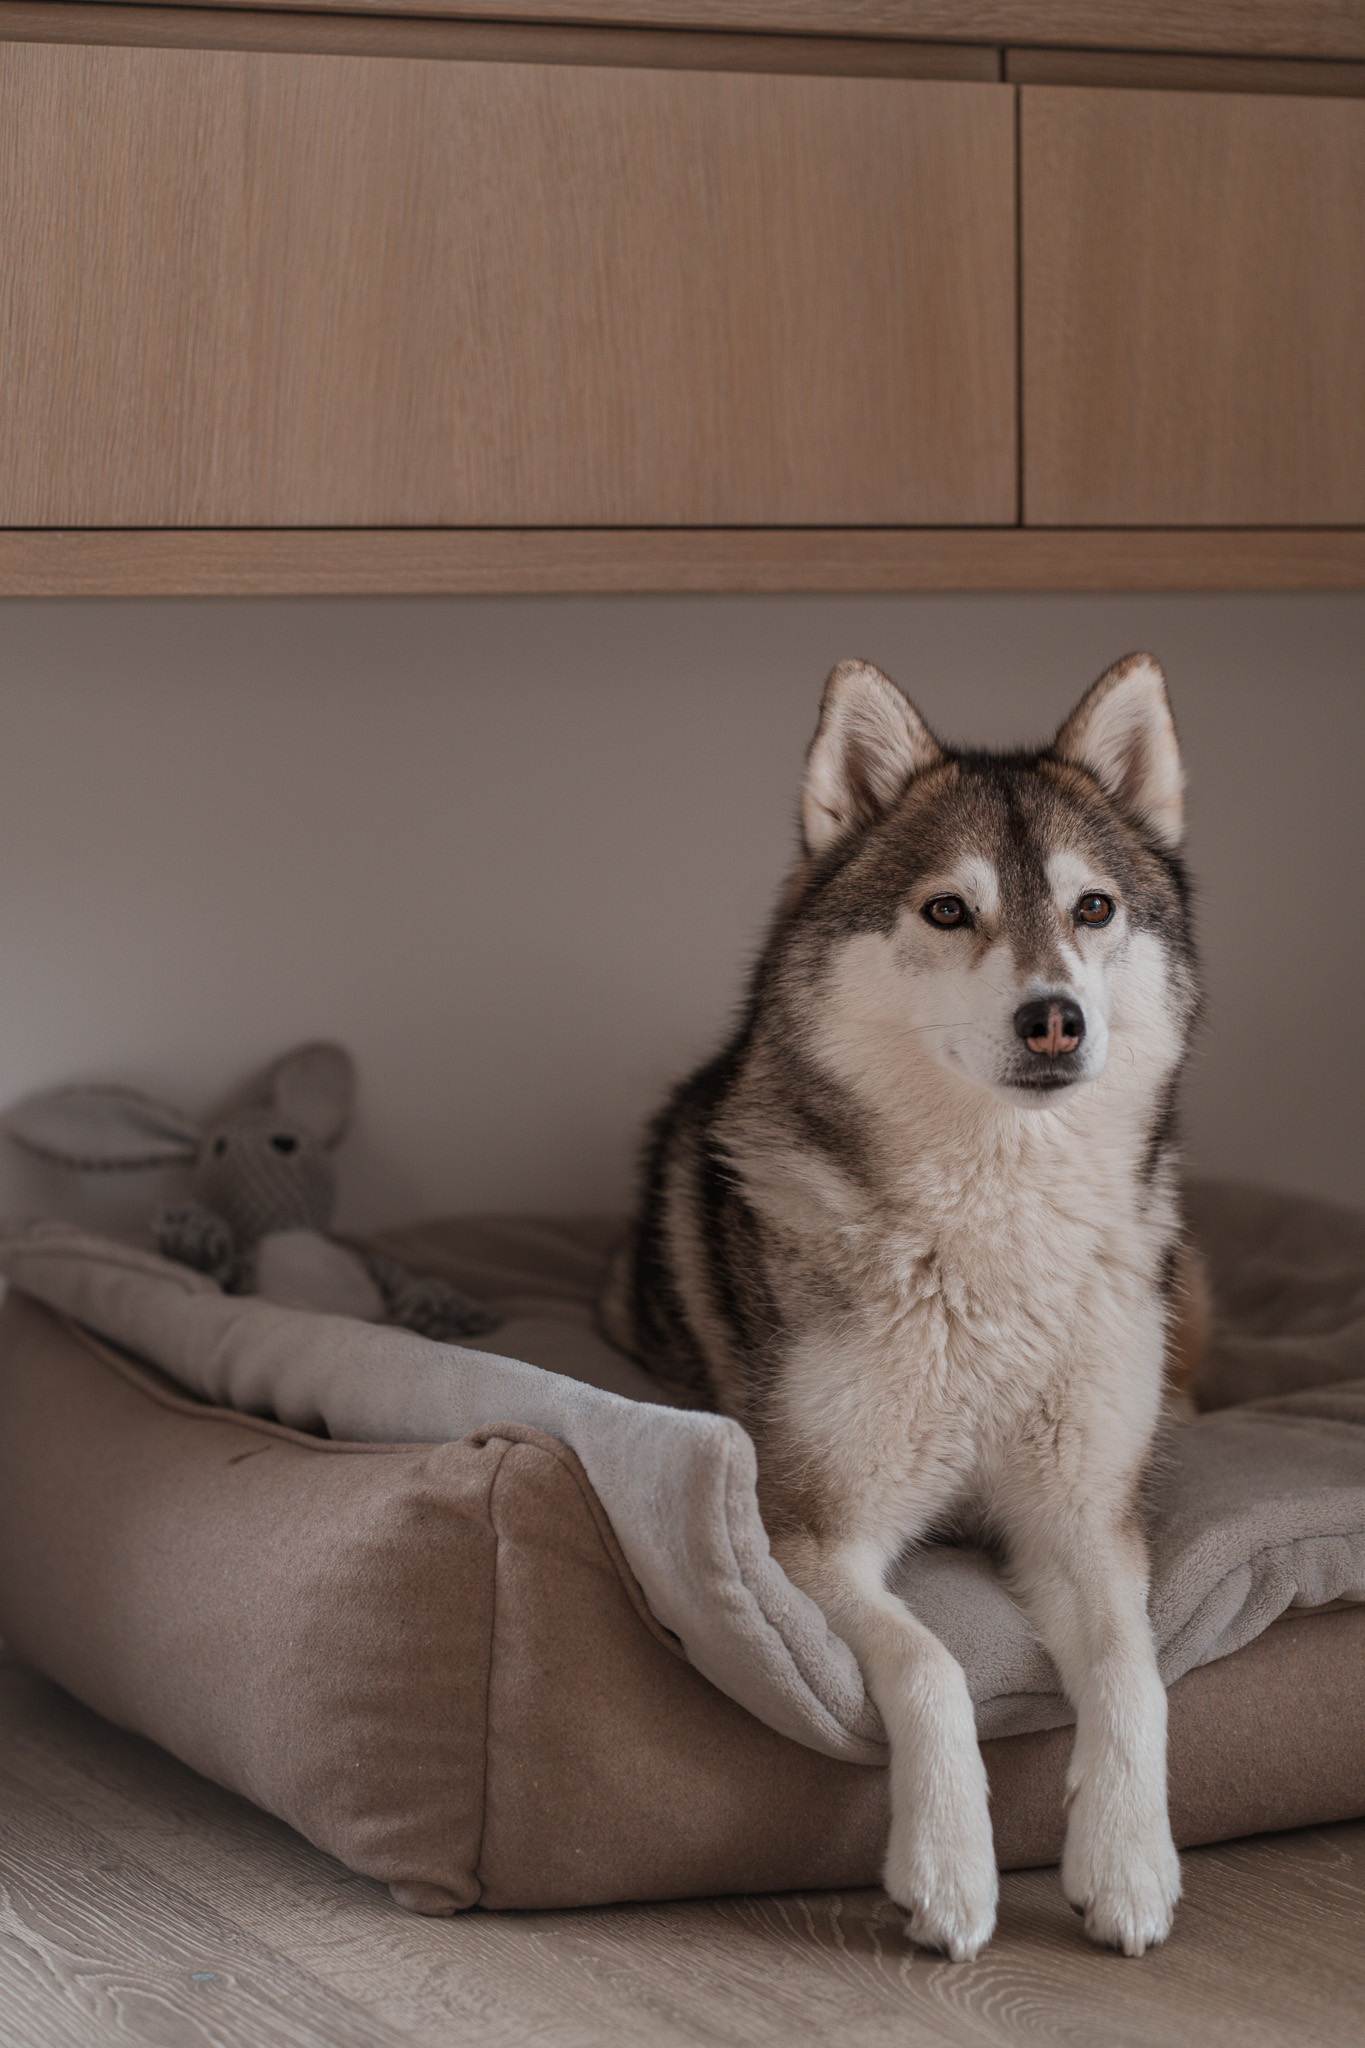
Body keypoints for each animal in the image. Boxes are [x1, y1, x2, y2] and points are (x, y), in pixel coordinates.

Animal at [602, 652, 1202, 1961]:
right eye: (947, 911)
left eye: (1093, 908)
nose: (1054, 1015)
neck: (992, 1234)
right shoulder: (809, 1528)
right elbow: (931, 1662)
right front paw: (951, 1866)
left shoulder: (1086, 1516)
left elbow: (1136, 1672)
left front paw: (1128, 1861)